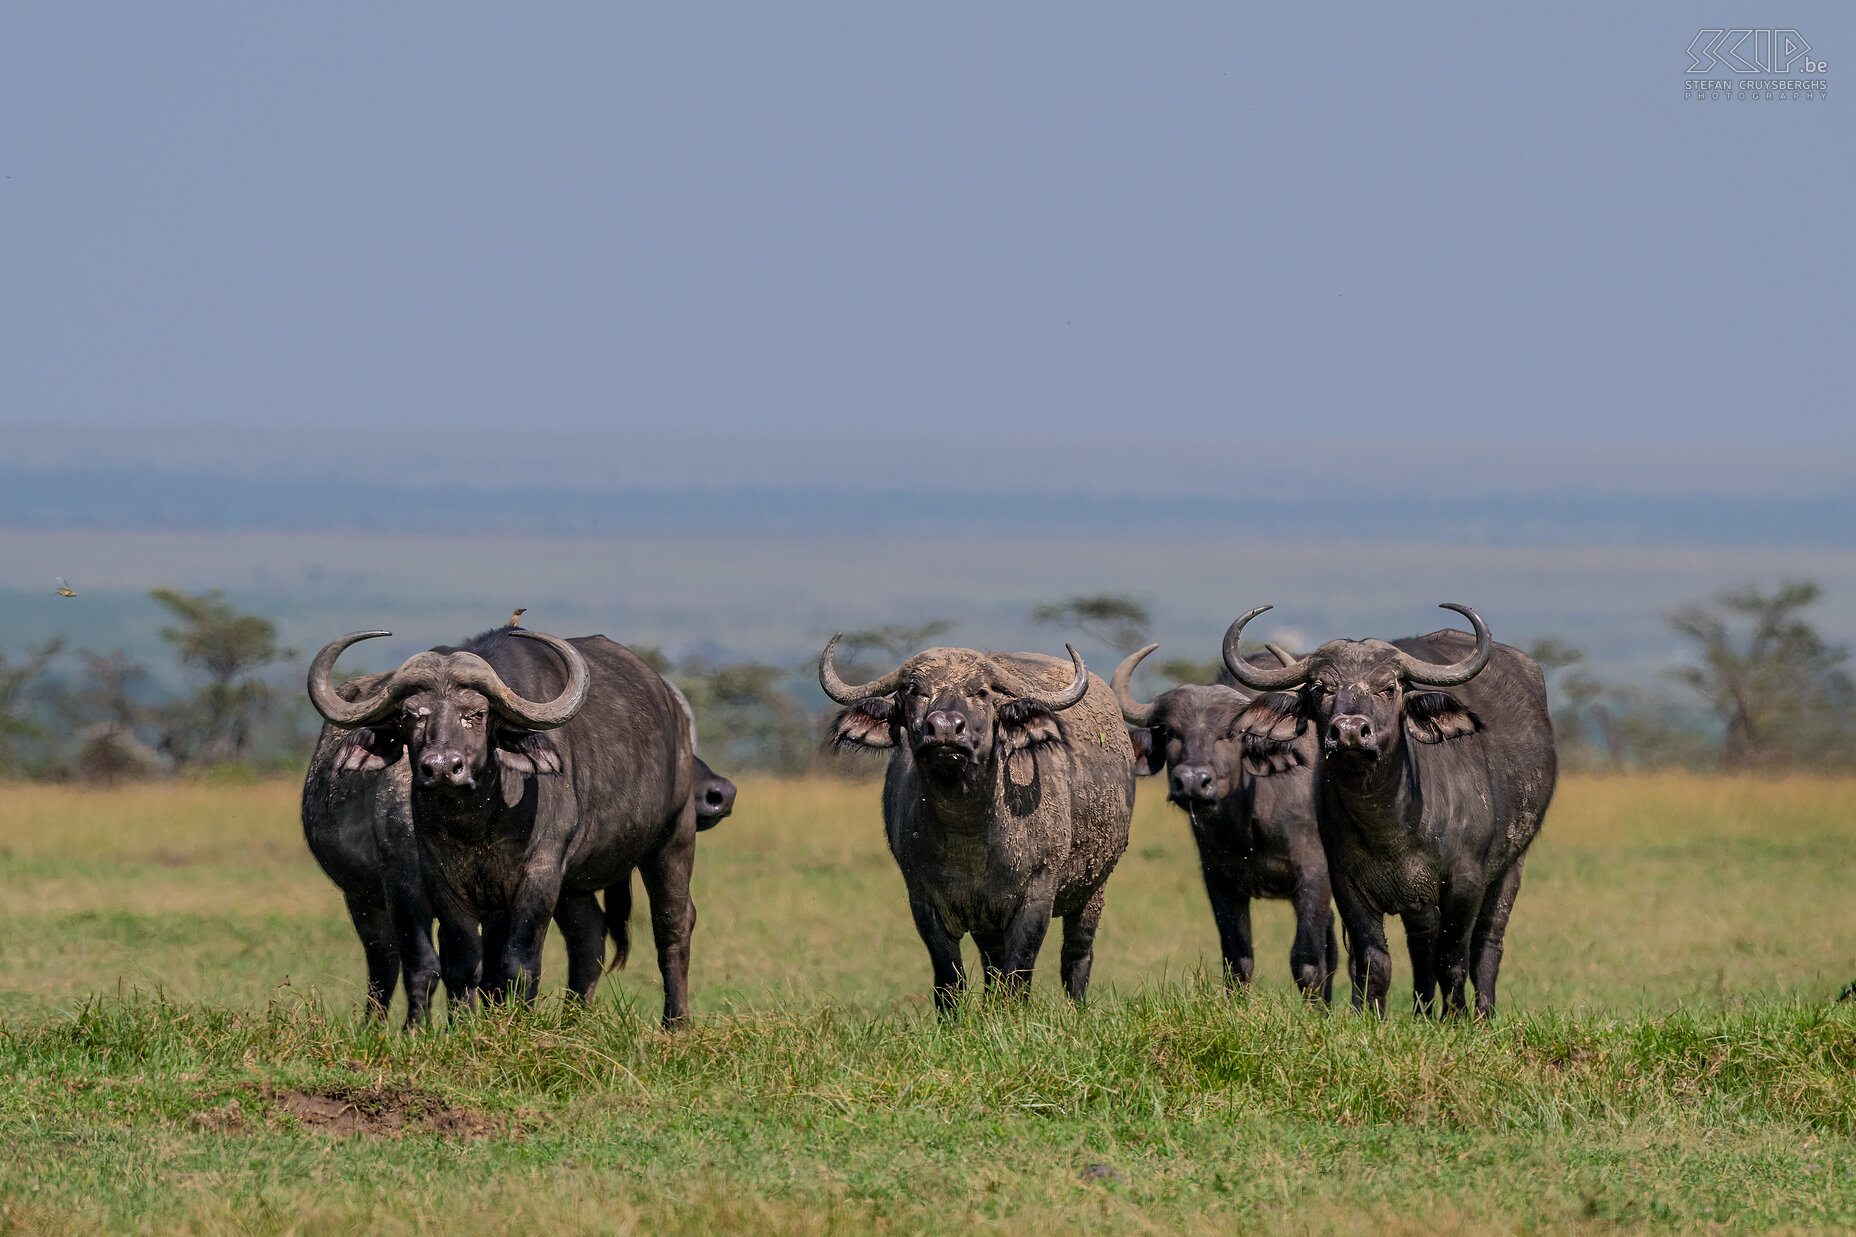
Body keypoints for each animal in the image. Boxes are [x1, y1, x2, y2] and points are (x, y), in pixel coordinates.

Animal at [311, 627, 701, 1017]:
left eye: (477, 713)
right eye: (412, 715)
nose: (442, 767)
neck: (479, 822)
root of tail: (672, 708)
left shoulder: (541, 872)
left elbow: (519, 962)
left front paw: (520, 1020)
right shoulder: (443, 880)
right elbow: (465, 964)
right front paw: (465, 1023)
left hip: (673, 838)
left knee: (673, 925)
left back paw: (676, 1021)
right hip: (573, 886)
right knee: (588, 936)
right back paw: (573, 1020)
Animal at [824, 638, 1135, 1010]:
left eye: (981, 692)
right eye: (914, 690)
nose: (945, 729)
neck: (970, 836)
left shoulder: (1037, 893)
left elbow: (1019, 973)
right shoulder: (924, 900)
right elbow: (949, 979)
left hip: (1093, 888)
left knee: (1076, 956)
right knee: (993, 968)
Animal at [1113, 638, 1336, 995]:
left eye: (1229, 734)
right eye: (1170, 732)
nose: (1192, 781)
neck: (1247, 827)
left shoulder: (1315, 876)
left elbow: (1308, 962)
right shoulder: (1218, 879)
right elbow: (1238, 958)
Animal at [1217, 601, 1551, 1017]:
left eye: (1388, 688)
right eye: (1321, 688)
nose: (1349, 731)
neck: (1391, 826)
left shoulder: (1466, 881)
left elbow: (1452, 958)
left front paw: (1455, 1018)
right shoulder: (1347, 885)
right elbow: (1375, 961)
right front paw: (1369, 1016)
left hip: (1510, 867)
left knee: (1486, 944)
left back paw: (1482, 1015)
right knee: (1422, 944)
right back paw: (1423, 1013)